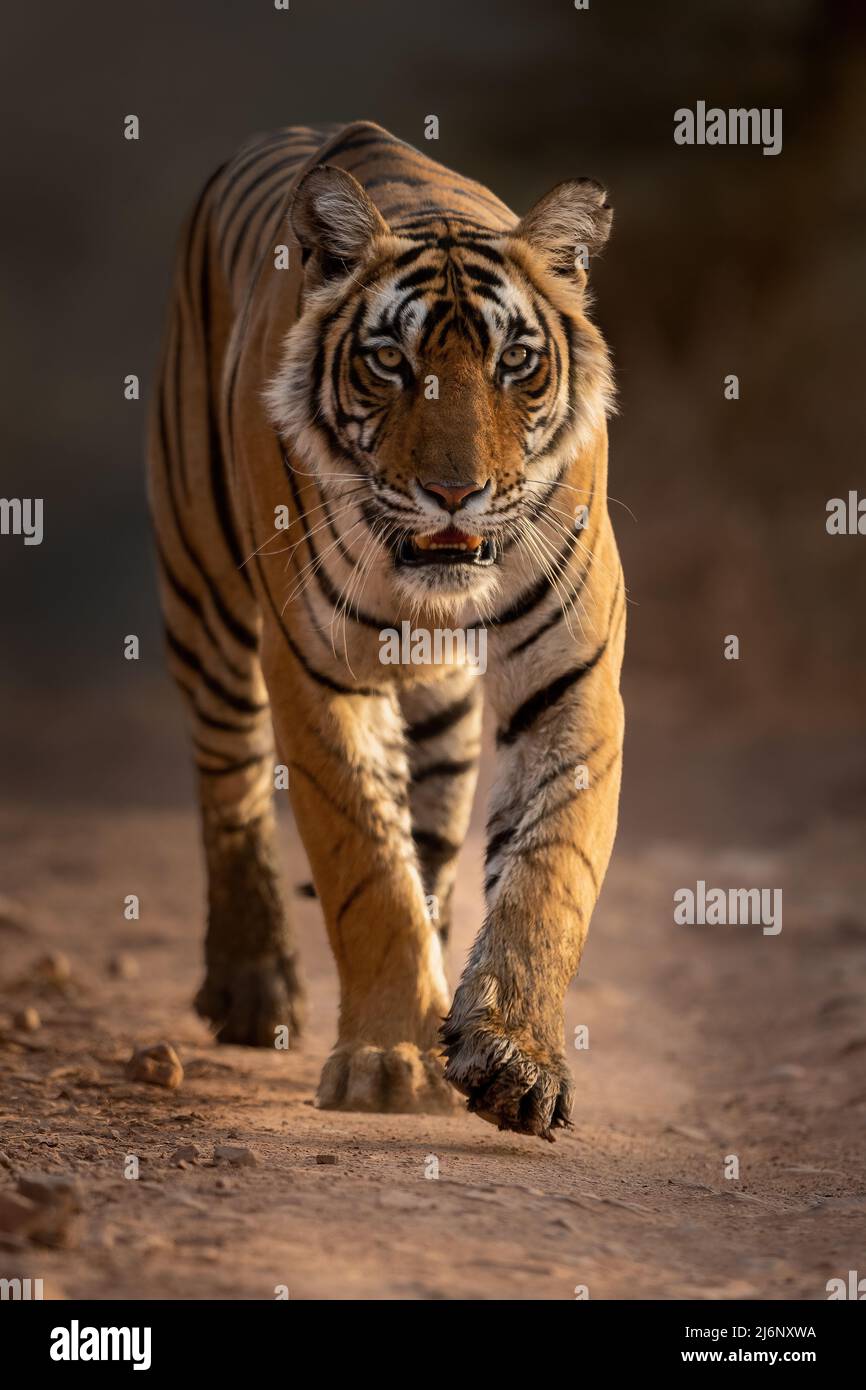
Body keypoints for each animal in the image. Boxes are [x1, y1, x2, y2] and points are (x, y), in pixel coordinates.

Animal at [147, 120, 625, 1141]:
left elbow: (547, 872)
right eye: (391, 362)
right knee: (229, 782)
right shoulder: (314, 668)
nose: (455, 492)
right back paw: (252, 985)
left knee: (435, 839)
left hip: (437, 701)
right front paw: (389, 1062)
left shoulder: (572, 675)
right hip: (203, 594)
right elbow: (367, 868)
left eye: (514, 363)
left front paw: (513, 1058)